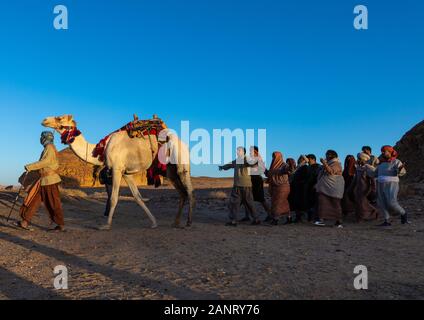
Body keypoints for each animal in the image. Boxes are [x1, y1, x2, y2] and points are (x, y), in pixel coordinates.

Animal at [42, 115, 195, 230]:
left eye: (59, 118)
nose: (44, 120)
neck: (101, 149)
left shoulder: (116, 169)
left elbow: (114, 197)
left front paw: (106, 225)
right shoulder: (127, 173)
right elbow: (137, 197)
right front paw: (154, 222)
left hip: (181, 164)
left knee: (189, 191)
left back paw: (188, 222)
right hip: (170, 170)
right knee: (182, 192)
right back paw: (175, 222)